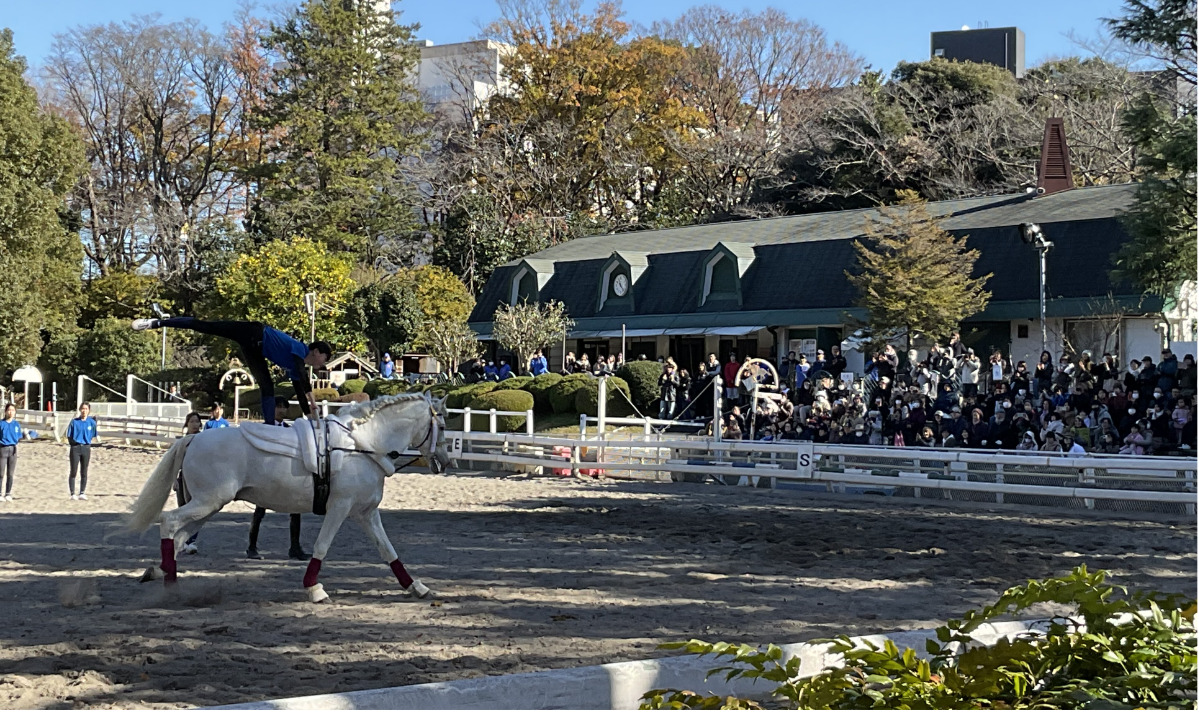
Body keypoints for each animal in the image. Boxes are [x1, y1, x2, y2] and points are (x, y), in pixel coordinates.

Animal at [121, 393, 450, 601]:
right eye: (443, 426)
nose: (445, 462)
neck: (363, 445)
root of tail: (193, 437)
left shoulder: (366, 512)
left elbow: (387, 549)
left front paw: (415, 586)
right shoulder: (340, 508)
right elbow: (322, 546)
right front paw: (314, 589)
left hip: (210, 506)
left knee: (179, 536)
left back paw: (162, 573)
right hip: (208, 502)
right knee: (169, 522)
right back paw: (170, 585)